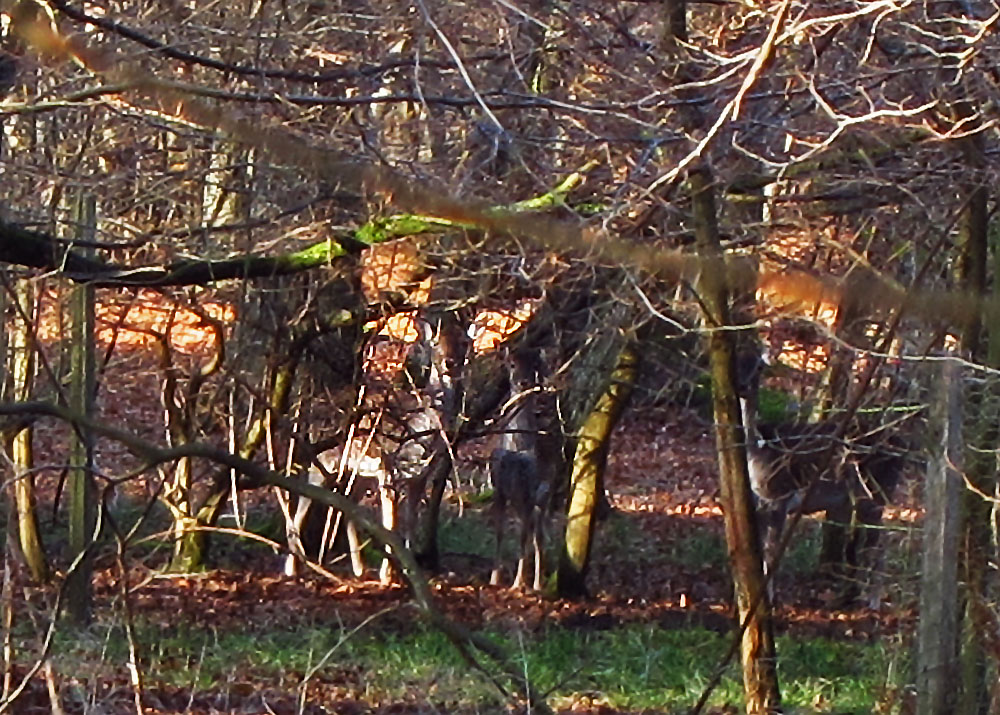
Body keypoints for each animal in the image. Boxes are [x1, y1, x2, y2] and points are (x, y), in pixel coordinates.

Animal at [490, 352, 552, 592]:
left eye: (535, 364)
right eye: (512, 364)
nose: (523, 382)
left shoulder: (529, 492)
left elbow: (523, 538)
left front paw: (517, 583)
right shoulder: (499, 488)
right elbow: (499, 532)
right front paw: (494, 578)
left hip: (543, 496)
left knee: (538, 536)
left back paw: (536, 583)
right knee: (534, 532)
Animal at [736, 352, 908, 600]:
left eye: (758, 367)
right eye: (736, 361)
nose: (741, 386)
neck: (759, 450)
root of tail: (903, 448)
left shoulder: (781, 495)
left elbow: (772, 552)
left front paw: (769, 598)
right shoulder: (760, 501)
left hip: (879, 489)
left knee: (878, 543)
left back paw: (872, 598)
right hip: (855, 499)